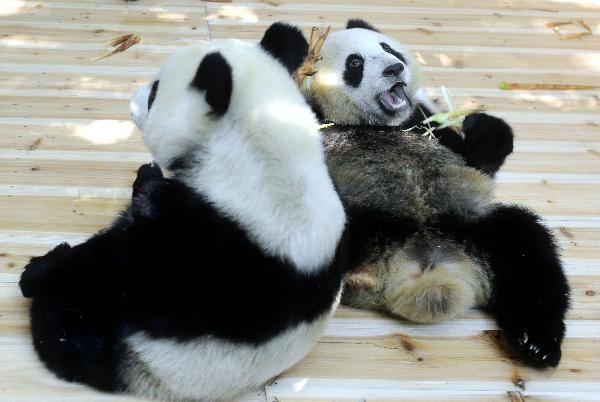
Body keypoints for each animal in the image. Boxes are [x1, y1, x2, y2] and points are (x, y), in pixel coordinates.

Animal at [19, 23, 346, 400]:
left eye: (155, 93)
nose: (130, 103)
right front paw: (146, 176)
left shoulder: (201, 244)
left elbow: (117, 262)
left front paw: (37, 271)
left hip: (145, 360)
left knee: (64, 334)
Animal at [300, 18, 572, 364]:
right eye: (355, 63)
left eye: (387, 48)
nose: (394, 68)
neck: (372, 124)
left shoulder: (425, 124)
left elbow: (477, 158)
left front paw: (482, 123)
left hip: (470, 228)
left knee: (526, 246)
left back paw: (537, 343)